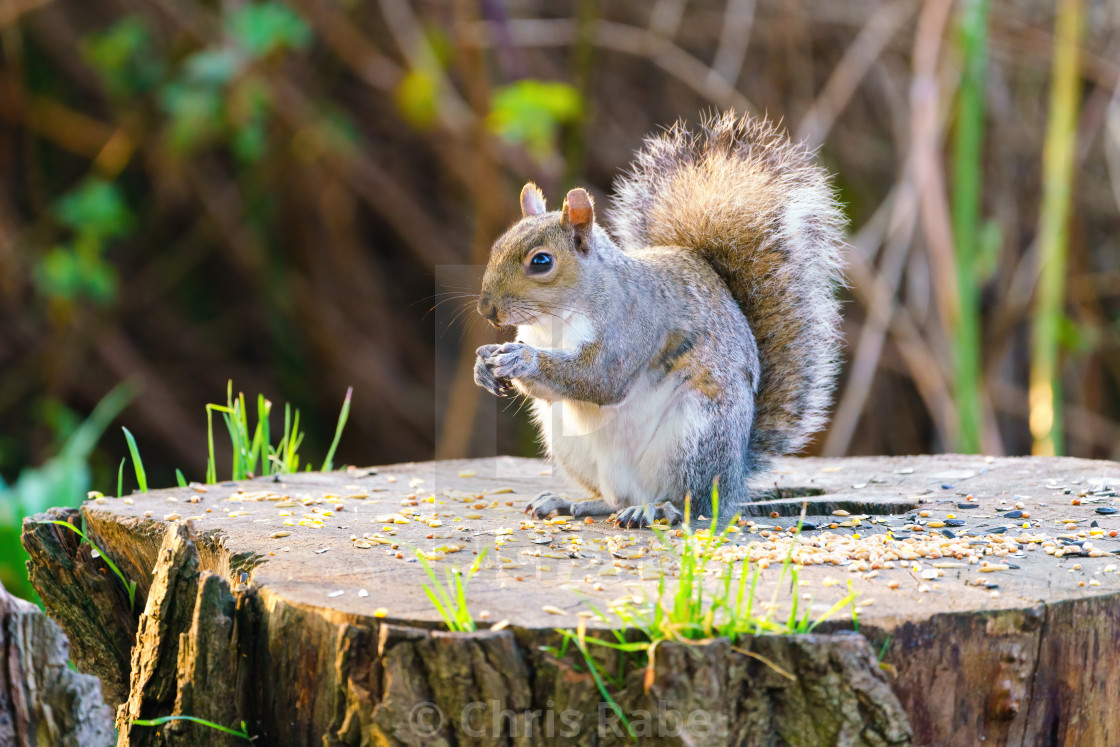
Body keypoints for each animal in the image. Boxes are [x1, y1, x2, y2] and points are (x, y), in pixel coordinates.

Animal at [468, 114, 842, 528]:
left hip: (694, 437)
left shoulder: (632, 326)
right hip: (571, 444)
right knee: (615, 497)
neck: (553, 321)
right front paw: (484, 361)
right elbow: (550, 391)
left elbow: (600, 379)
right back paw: (576, 503)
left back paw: (658, 509)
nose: (488, 310)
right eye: (497, 246)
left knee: (690, 501)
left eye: (541, 261)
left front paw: (522, 358)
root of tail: (734, 479)